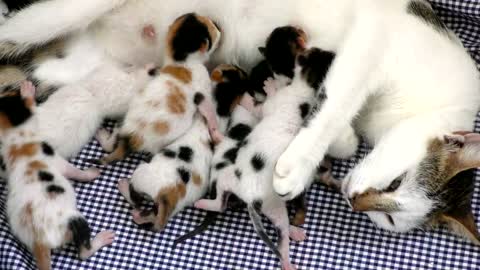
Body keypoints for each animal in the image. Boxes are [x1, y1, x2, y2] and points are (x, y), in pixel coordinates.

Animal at [0, 0, 480, 243]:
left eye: (391, 221)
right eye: (396, 183)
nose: (352, 197)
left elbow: (334, 120)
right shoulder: (374, 41)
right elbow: (337, 101)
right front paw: (297, 165)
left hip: (89, 67)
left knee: (34, 74)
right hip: (66, 13)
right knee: (12, 35)